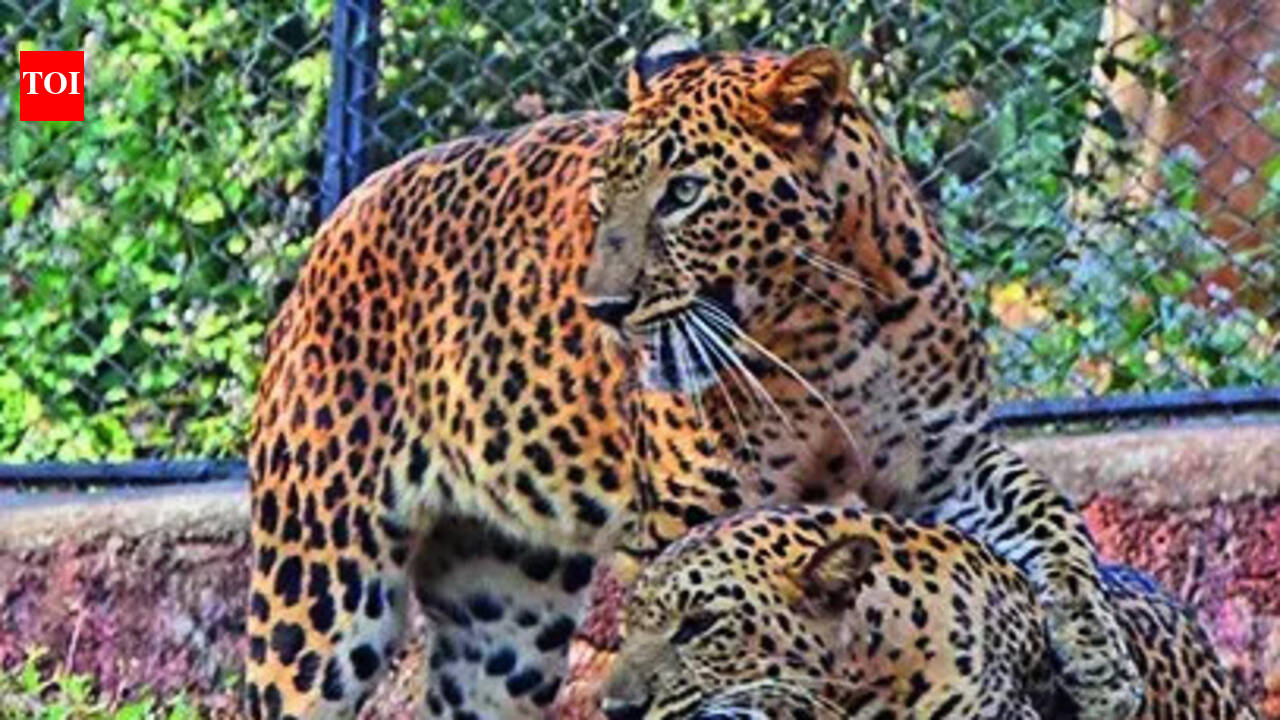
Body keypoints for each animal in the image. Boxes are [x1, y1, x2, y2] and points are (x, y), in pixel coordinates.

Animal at [245, 34, 1140, 719]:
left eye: (682, 193)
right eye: (602, 199)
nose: (604, 308)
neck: (821, 326)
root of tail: (347, 207)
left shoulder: (947, 462)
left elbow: (1055, 522)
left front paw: (1103, 667)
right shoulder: (704, 505)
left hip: (506, 613)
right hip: (322, 582)